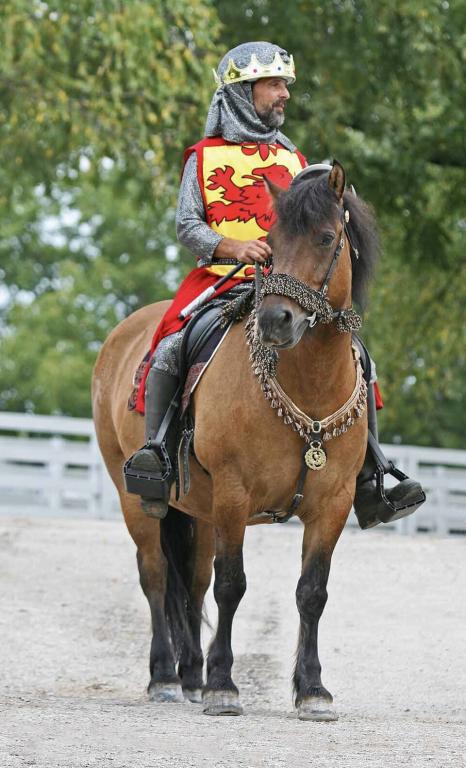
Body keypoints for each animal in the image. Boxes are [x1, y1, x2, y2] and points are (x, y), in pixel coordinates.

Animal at [92, 160, 379, 720]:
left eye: (326, 236)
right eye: (272, 241)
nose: (275, 320)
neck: (308, 390)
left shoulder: (333, 502)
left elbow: (312, 592)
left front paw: (312, 689)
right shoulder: (233, 492)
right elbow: (232, 585)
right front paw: (224, 685)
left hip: (198, 511)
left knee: (191, 583)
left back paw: (191, 674)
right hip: (138, 498)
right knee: (157, 576)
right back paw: (166, 675)